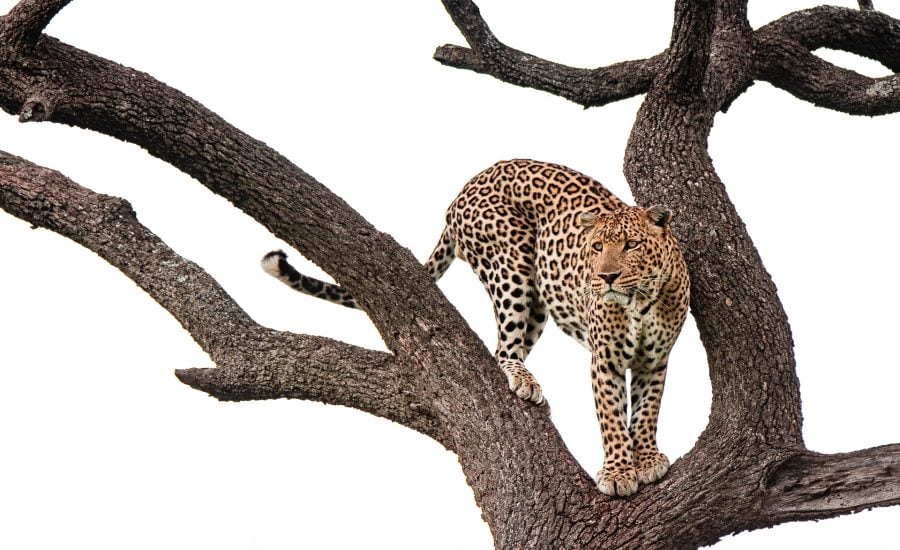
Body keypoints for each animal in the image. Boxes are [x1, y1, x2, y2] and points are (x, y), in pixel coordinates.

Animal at [261, 159, 690, 497]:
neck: (639, 301)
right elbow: (612, 419)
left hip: (535, 301)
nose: (606, 277)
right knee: (503, 349)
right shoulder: (606, 360)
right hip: (512, 266)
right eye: (597, 247)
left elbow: (646, 412)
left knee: (509, 347)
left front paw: (646, 459)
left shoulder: (655, 361)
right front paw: (618, 473)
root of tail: (462, 191)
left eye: (632, 245)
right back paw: (524, 382)